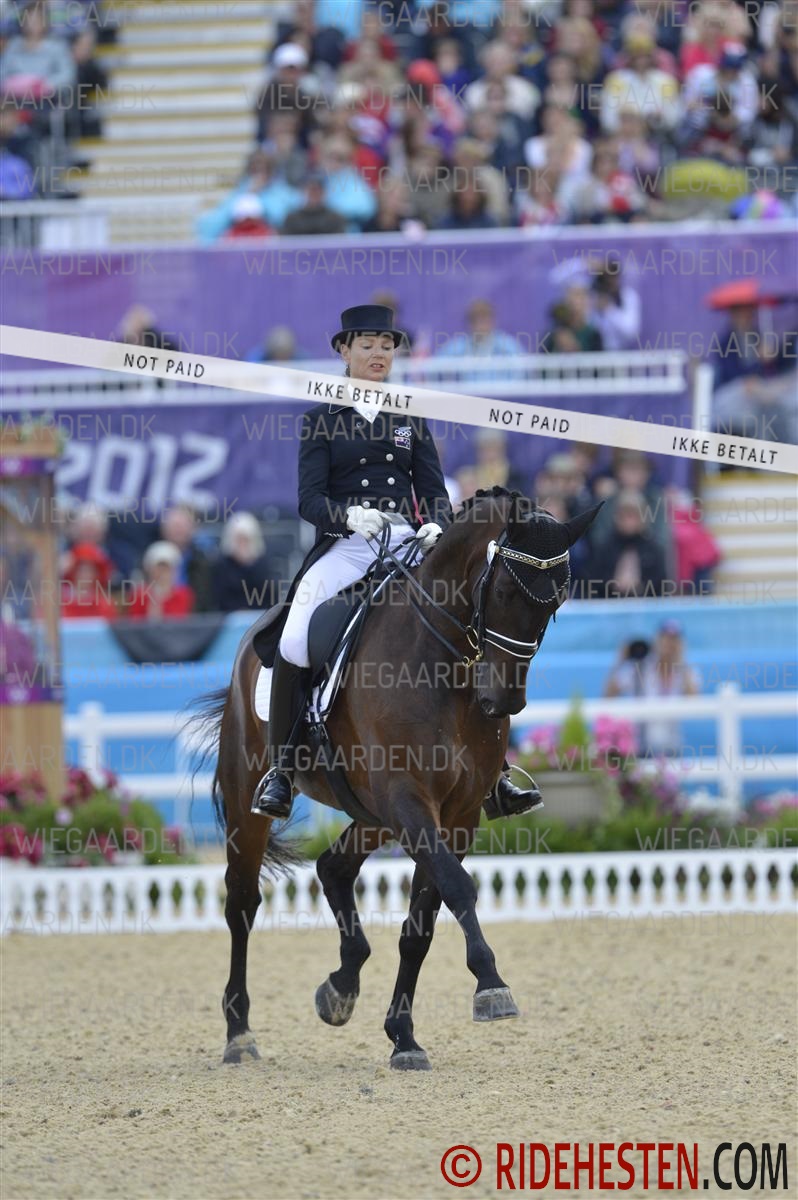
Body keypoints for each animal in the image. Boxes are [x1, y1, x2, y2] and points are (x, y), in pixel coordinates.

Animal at [194, 487, 599, 1070]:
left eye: (557, 601)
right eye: (502, 589)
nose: (503, 701)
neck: (442, 665)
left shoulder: (455, 814)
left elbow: (422, 923)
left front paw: (403, 1035)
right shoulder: (409, 800)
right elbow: (458, 886)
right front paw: (491, 985)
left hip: (372, 812)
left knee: (333, 867)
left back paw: (340, 987)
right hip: (256, 800)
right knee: (242, 903)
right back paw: (239, 1033)